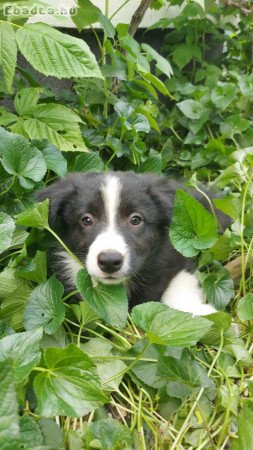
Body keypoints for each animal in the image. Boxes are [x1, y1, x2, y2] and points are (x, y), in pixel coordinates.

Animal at [37, 171, 229, 314]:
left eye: (135, 220)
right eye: (87, 220)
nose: (109, 261)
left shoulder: (177, 255)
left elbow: (175, 285)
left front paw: (200, 311)